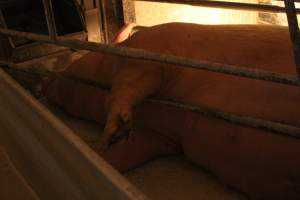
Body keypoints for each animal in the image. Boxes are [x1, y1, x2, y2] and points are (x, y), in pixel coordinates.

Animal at [44, 23, 300, 198]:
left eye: (81, 57)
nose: (45, 82)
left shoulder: (151, 53)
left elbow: (128, 85)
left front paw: (114, 128)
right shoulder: (162, 137)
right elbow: (127, 153)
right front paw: (101, 149)